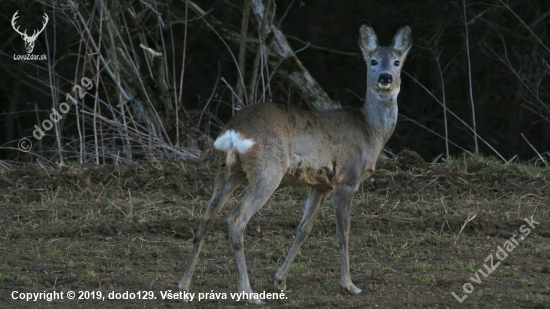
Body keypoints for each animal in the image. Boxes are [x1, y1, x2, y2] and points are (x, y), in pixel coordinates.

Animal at [181, 23, 414, 304]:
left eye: (397, 62)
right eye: (373, 61)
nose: (386, 77)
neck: (371, 131)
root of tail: (233, 131)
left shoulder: (321, 185)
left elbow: (304, 228)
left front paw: (279, 280)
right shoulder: (347, 178)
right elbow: (343, 231)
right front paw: (350, 285)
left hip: (229, 170)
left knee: (206, 217)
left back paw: (183, 286)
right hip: (268, 169)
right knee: (236, 219)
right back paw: (248, 293)